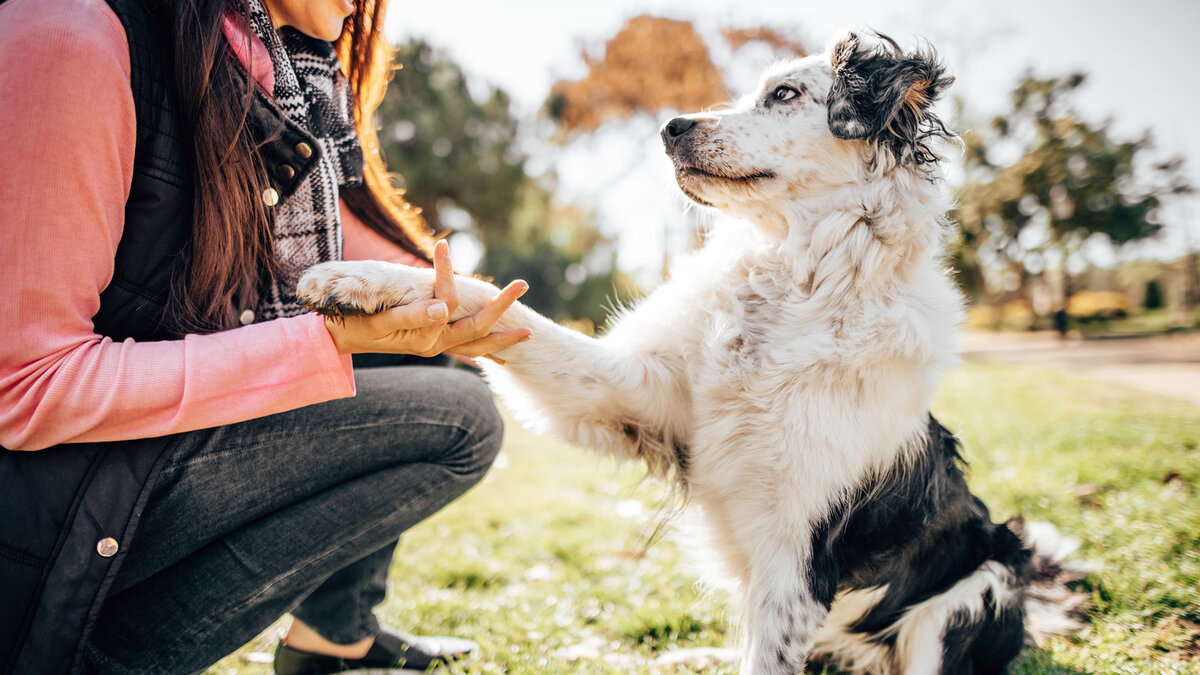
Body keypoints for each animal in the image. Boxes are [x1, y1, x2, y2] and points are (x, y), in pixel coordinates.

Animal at [295, 31, 1084, 672]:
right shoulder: (636, 396)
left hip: (968, 597)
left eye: (785, 94)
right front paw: (362, 281)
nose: (670, 127)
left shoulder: (797, 557)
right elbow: (502, 302)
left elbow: (770, 657)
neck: (792, 279)